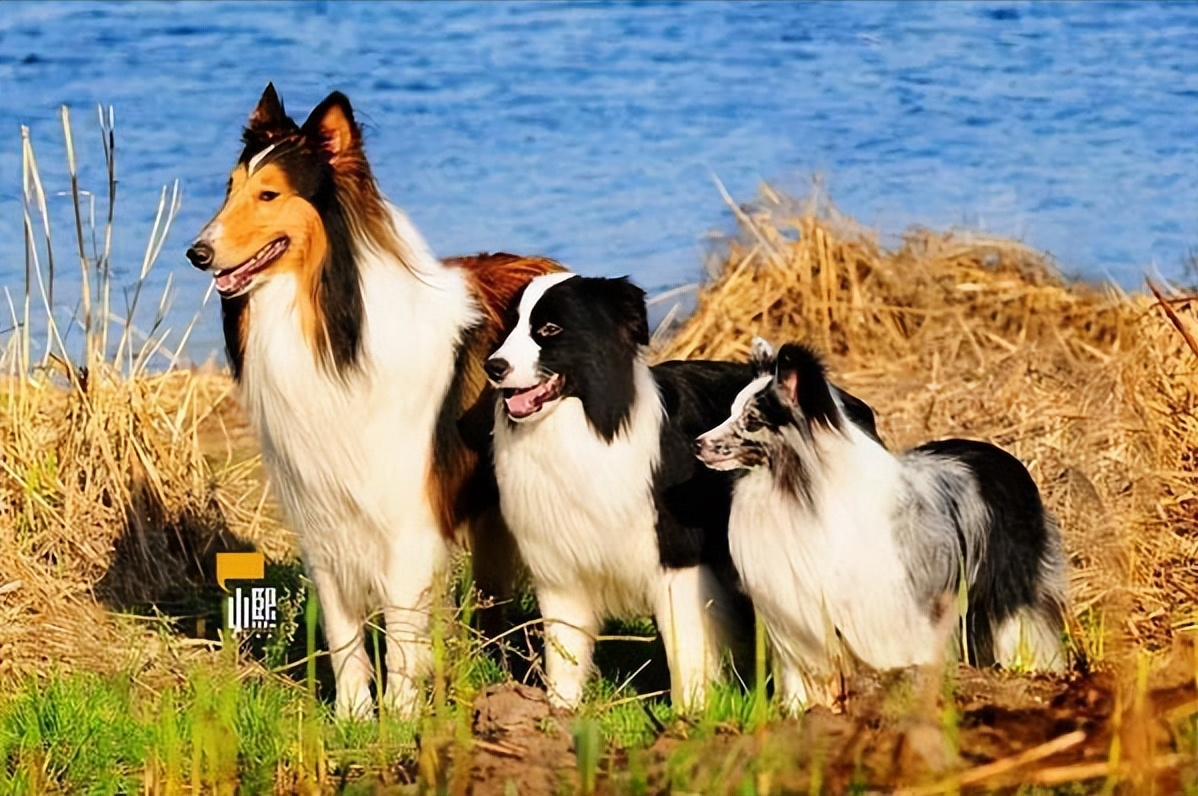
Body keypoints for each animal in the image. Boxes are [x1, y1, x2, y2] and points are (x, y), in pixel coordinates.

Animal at [481, 275, 886, 709]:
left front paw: (689, 713)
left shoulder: (680, 558)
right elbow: (565, 652)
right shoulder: (559, 568)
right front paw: (557, 712)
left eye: (550, 329)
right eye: (508, 328)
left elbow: (686, 647)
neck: (591, 430)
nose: (493, 367)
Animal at [694, 338, 1068, 709]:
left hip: (1011, 597)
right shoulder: (799, 627)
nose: (697, 444)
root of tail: (1008, 460)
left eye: (752, 419)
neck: (798, 485)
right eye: (731, 411)